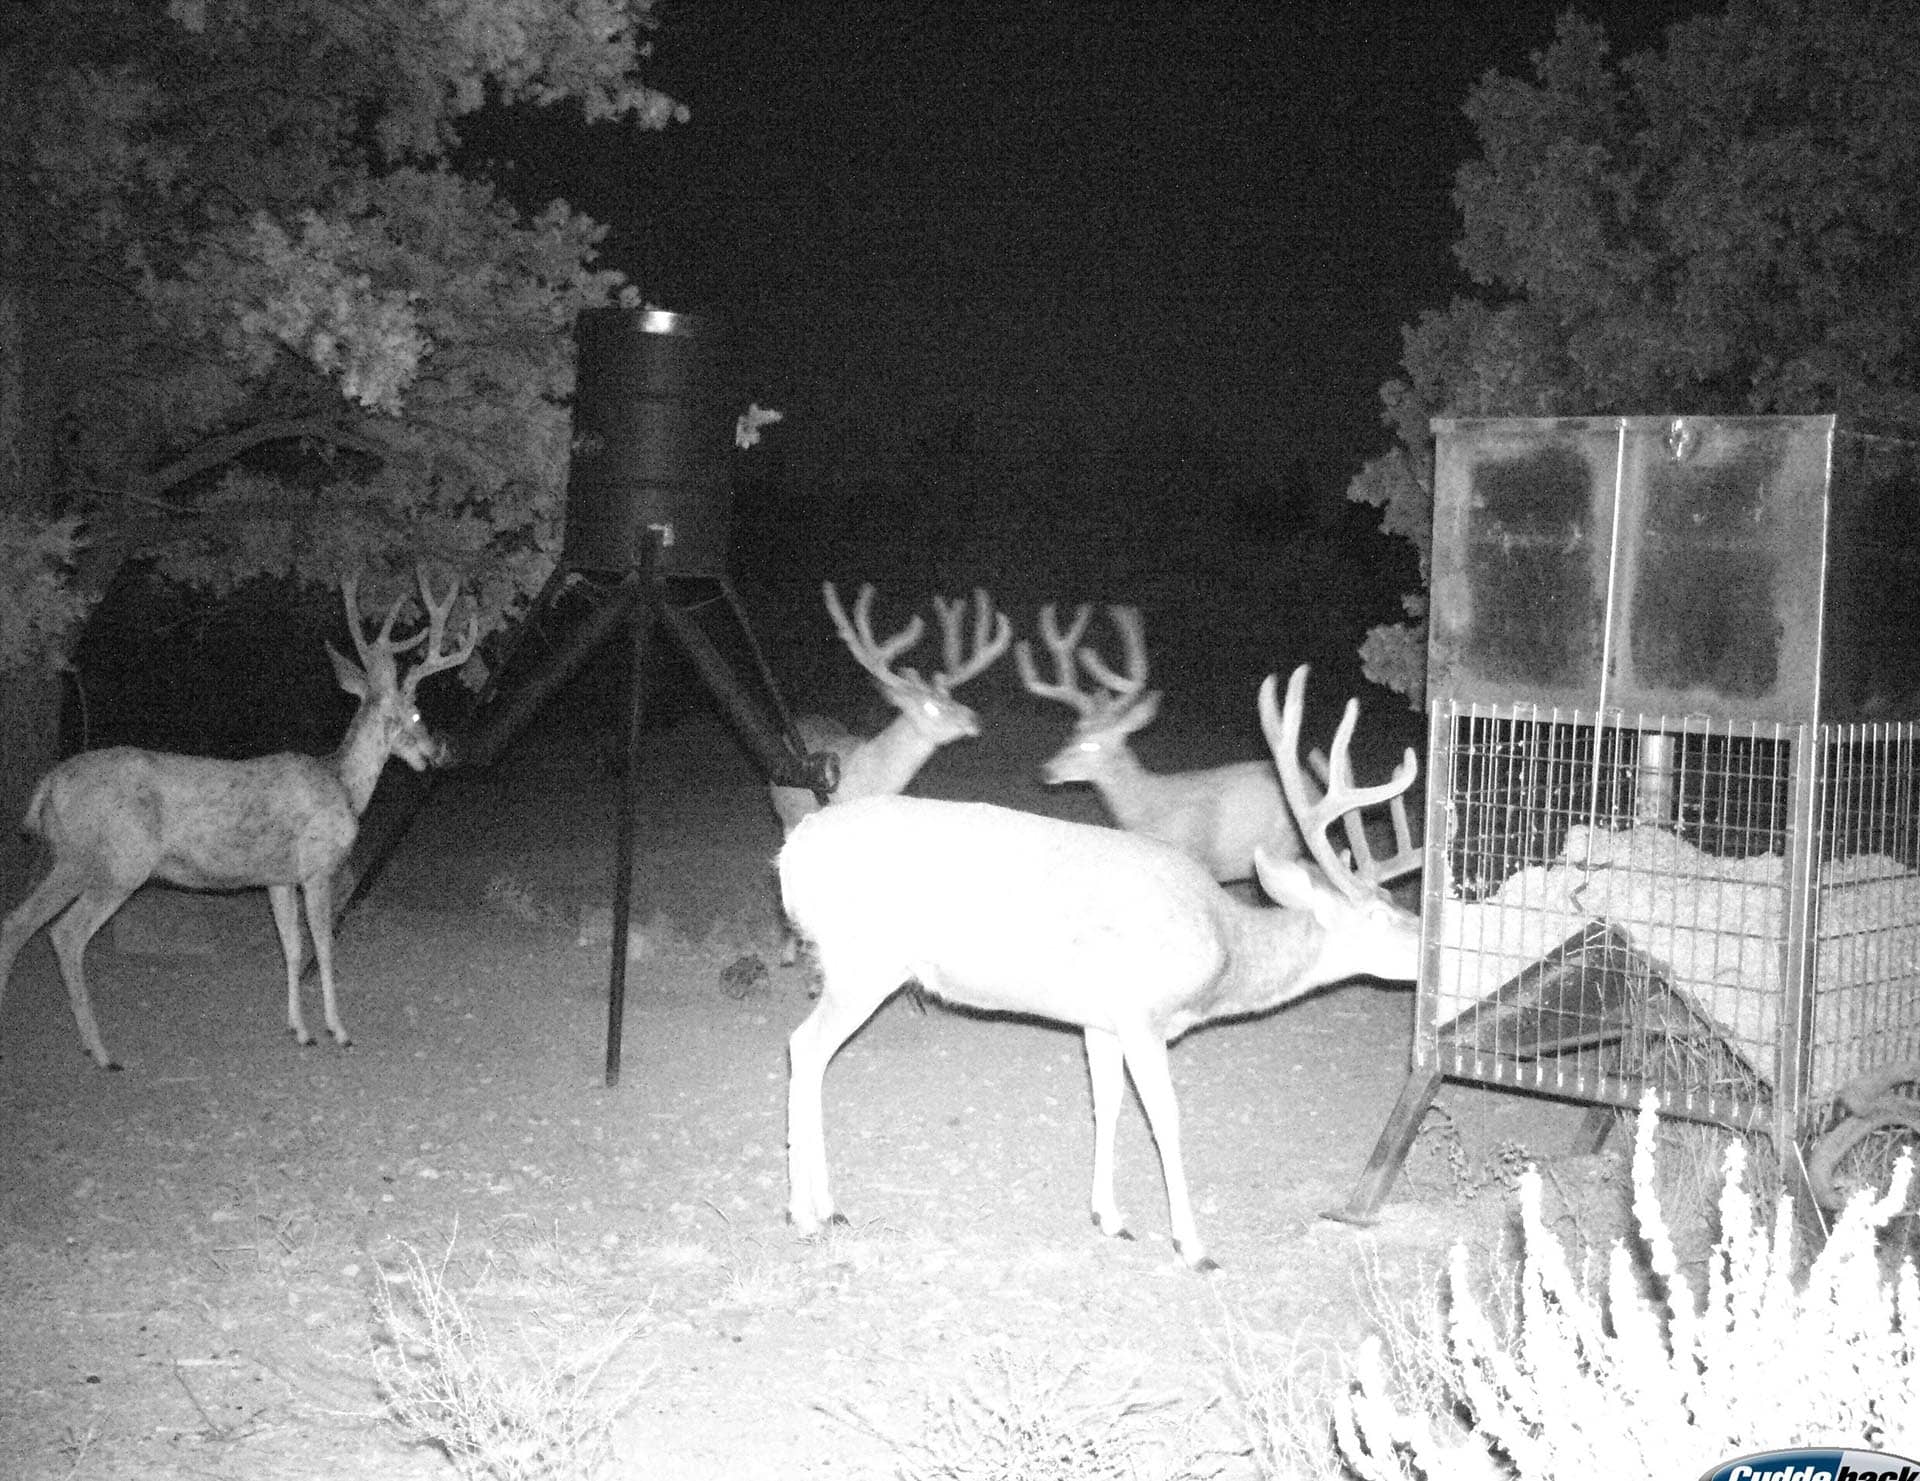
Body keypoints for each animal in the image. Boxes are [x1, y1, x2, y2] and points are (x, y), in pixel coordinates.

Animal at [0, 566, 477, 1070]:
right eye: (417, 713)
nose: (439, 751)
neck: (345, 787)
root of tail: (48, 784)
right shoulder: (318, 867)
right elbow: (324, 947)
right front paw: (339, 1030)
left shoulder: (278, 878)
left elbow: (291, 948)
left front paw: (299, 1030)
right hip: (120, 862)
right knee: (66, 934)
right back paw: (102, 1051)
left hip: (69, 858)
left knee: (18, 924)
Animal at [779, 663, 1423, 1272]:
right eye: (1381, 916)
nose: (1431, 943)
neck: (1223, 951)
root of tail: (789, 853)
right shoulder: (1142, 1013)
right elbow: (1166, 1119)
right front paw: (1193, 1247)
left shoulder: (1100, 1020)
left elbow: (1106, 1103)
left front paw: (1109, 1218)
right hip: (863, 963)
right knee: (804, 1047)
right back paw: (810, 1213)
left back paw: (822, 1209)